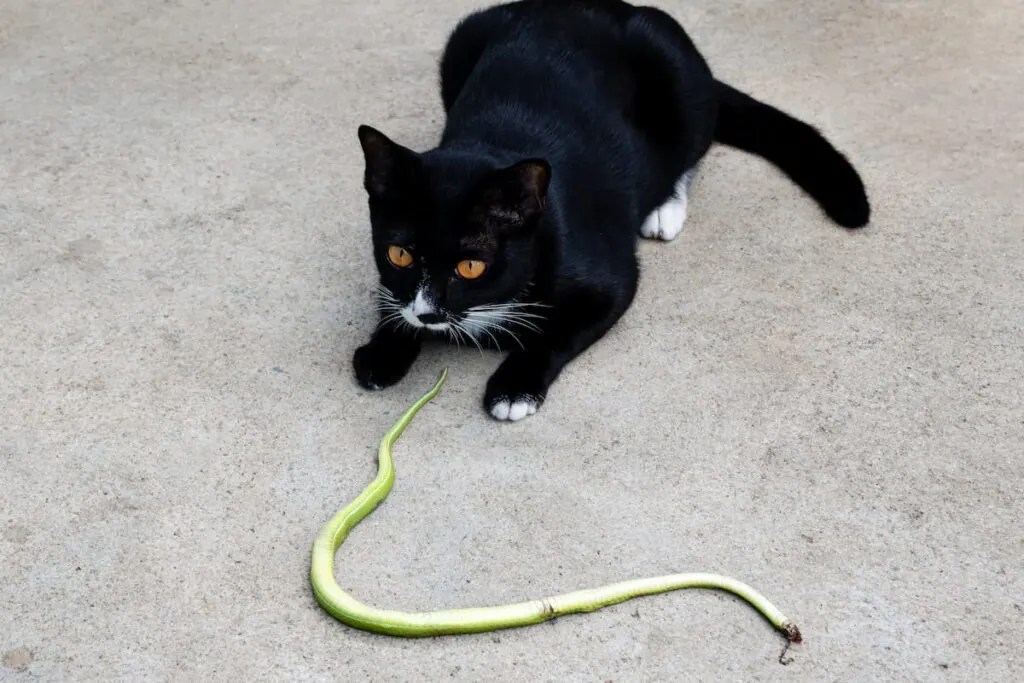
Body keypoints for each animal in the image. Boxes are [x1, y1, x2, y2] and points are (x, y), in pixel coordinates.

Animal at [348, 1, 868, 421]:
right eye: (399, 254)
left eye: (471, 266)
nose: (428, 315)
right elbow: (391, 295)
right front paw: (383, 350)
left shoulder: (608, 278)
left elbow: (559, 332)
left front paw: (513, 389)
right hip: (464, 36)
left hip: (674, 68)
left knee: (693, 143)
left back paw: (664, 207)